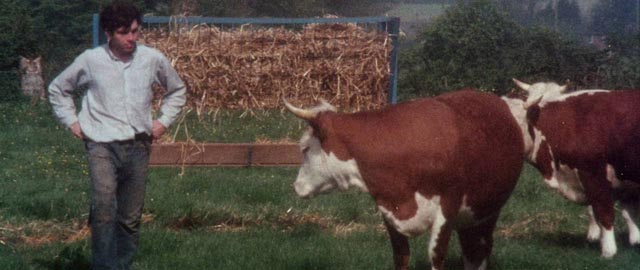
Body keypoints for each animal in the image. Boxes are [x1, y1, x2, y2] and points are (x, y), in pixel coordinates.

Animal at [284, 89, 524, 268]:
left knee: (481, 249)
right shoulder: (389, 210)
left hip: (488, 211)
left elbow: (436, 255)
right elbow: (401, 256)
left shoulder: (448, 207)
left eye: (305, 148)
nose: (296, 186)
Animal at [512, 79, 640, 258]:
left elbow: (605, 213)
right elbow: (628, 214)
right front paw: (634, 241)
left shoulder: (594, 175)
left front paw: (608, 250)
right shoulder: (625, 183)